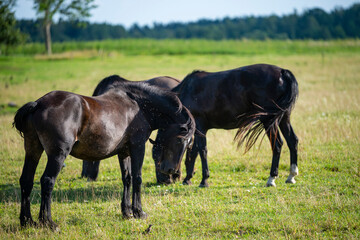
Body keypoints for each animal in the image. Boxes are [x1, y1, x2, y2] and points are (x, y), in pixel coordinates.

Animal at [13, 81, 194, 230]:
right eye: (180, 141)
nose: (171, 170)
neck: (139, 106)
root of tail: (38, 104)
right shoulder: (138, 147)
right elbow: (137, 178)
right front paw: (139, 212)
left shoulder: (124, 152)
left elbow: (127, 179)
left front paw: (127, 212)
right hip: (57, 155)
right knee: (47, 181)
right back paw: (48, 222)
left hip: (33, 150)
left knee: (26, 181)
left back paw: (27, 221)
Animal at [153, 63, 300, 188]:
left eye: (164, 144)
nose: (166, 172)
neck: (187, 92)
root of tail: (282, 72)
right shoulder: (196, 130)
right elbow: (195, 151)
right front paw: (188, 179)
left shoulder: (200, 127)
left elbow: (202, 151)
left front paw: (204, 181)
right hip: (283, 118)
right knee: (292, 141)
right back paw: (291, 176)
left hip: (269, 120)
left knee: (277, 145)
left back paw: (271, 179)